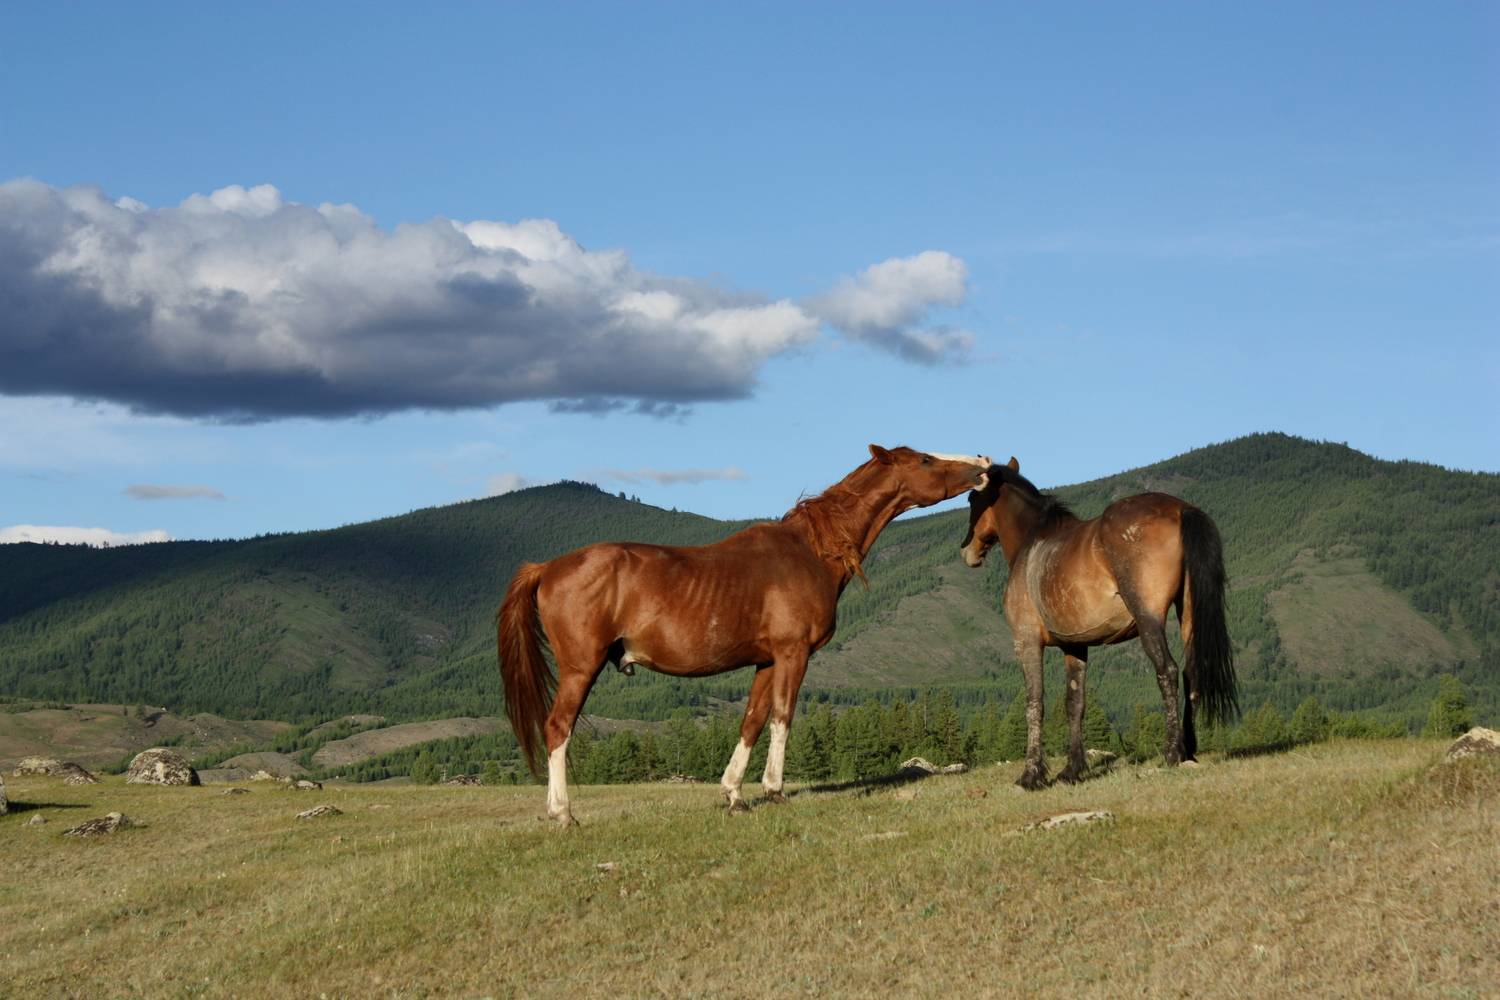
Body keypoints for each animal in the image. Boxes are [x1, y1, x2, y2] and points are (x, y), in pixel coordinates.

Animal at [499, 444, 991, 825]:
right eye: (925, 459)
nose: (984, 463)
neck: (811, 551)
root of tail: (548, 567)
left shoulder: (767, 660)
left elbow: (752, 720)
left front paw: (735, 795)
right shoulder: (794, 654)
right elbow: (782, 717)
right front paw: (774, 790)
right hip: (581, 668)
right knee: (557, 728)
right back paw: (563, 813)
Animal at [959, 458, 1238, 789]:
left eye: (972, 499)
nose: (967, 551)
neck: (1033, 543)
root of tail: (1181, 509)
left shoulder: (1026, 642)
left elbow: (1034, 703)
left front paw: (1031, 775)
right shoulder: (1075, 647)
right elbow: (1074, 704)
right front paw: (1072, 770)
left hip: (1148, 620)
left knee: (1167, 671)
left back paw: (1172, 753)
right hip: (1189, 615)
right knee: (1191, 672)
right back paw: (1189, 751)